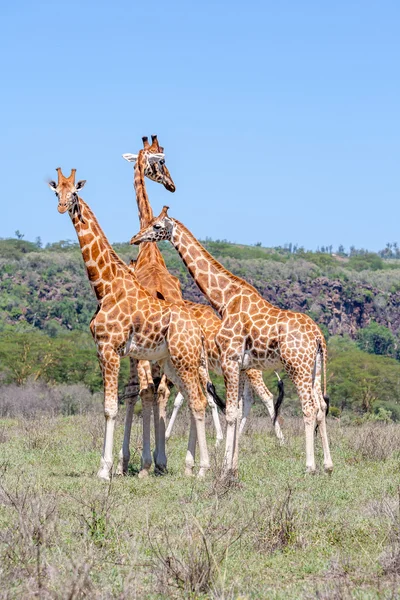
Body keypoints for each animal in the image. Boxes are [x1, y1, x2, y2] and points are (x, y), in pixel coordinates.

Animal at [47, 171, 219, 480]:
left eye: (74, 193)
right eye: (57, 192)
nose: (63, 207)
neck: (105, 285)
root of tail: (198, 329)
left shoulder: (109, 349)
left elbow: (110, 407)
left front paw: (105, 469)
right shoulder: (112, 352)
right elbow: (125, 400)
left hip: (185, 360)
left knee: (198, 401)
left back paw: (202, 469)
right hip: (174, 363)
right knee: (192, 399)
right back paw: (194, 467)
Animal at [132, 210, 334, 478]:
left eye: (156, 226)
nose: (135, 238)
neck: (225, 299)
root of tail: (318, 336)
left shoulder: (229, 359)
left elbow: (228, 412)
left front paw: (224, 468)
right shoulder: (238, 365)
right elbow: (235, 411)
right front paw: (233, 466)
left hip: (297, 366)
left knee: (308, 408)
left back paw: (310, 467)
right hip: (314, 369)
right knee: (320, 406)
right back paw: (328, 465)